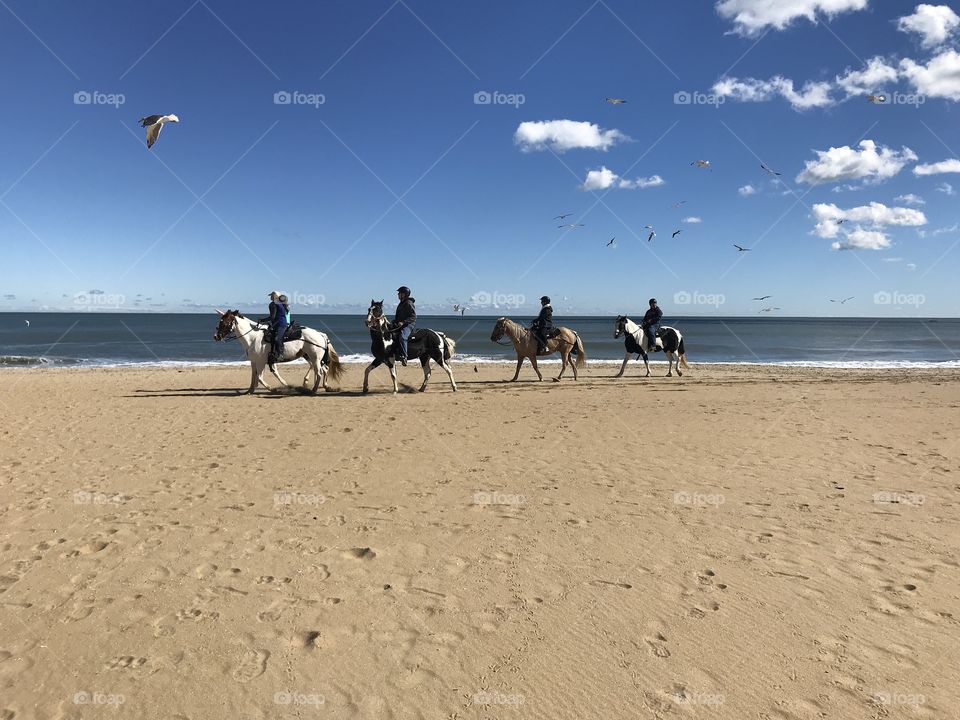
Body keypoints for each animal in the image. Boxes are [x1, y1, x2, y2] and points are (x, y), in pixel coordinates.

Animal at [213, 309, 343, 394]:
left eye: (225, 322)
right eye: (220, 321)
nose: (216, 336)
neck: (253, 337)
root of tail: (321, 334)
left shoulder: (261, 362)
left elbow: (259, 378)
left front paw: (273, 388)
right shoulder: (254, 362)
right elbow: (254, 377)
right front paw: (250, 390)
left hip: (315, 358)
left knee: (319, 372)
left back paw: (313, 390)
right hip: (310, 357)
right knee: (324, 369)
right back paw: (325, 387)